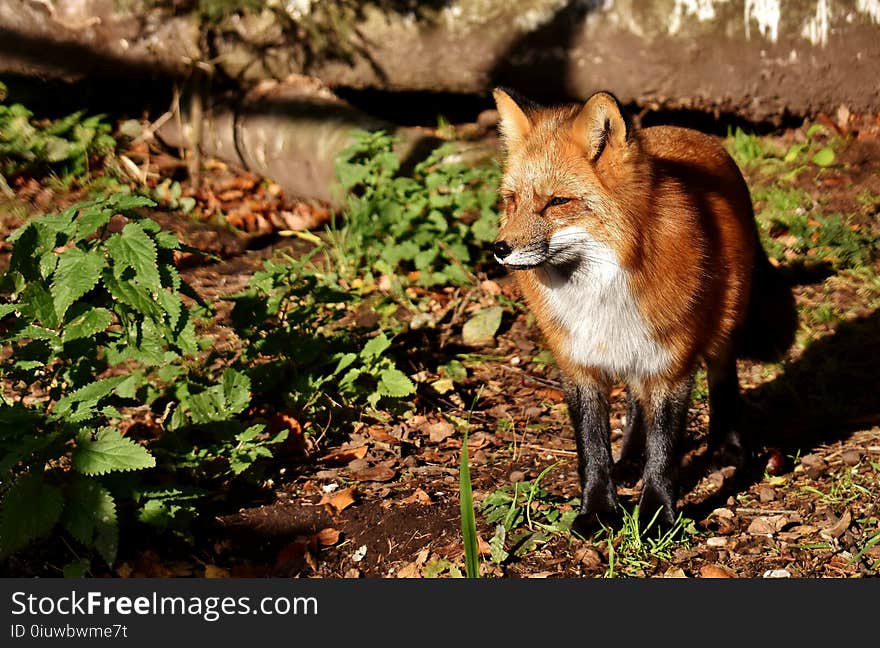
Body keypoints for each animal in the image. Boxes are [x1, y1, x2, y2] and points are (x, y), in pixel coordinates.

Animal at [492, 88, 800, 528]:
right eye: (512, 200)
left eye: (557, 202)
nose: (499, 249)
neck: (603, 291)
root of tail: (686, 130)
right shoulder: (580, 365)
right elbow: (592, 448)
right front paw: (598, 511)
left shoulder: (672, 367)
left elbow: (665, 451)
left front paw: (657, 515)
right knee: (637, 403)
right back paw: (629, 461)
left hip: (720, 329)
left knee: (723, 379)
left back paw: (726, 448)